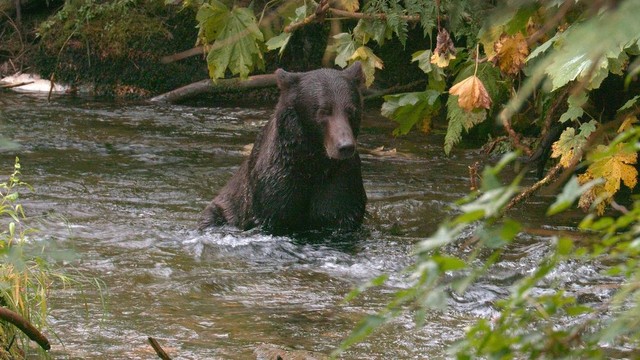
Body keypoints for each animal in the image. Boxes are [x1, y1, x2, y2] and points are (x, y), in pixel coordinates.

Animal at [200, 63, 370, 235]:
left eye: (351, 110)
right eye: (323, 111)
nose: (345, 146)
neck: (313, 161)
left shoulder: (341, 179)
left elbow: (340, 211)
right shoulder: (276, 180)